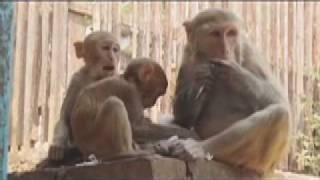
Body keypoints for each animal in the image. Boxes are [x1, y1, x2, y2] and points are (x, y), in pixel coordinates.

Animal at [37, 31, 121, 169]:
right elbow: (64, 118)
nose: (112, 57)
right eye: (105, 48)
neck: (95, 77)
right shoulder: (76, 79)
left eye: (115, 50)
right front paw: (57, 146)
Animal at [169, 8, 292, 176]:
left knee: (280, 113)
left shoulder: (247, 50)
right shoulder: (188, 55)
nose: (225, 49)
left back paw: (201, 147)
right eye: (215, 34)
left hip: (258, 161)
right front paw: (200, 79)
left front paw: (236, 73)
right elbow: (182, 119)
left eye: (230, 33)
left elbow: (279, 100)